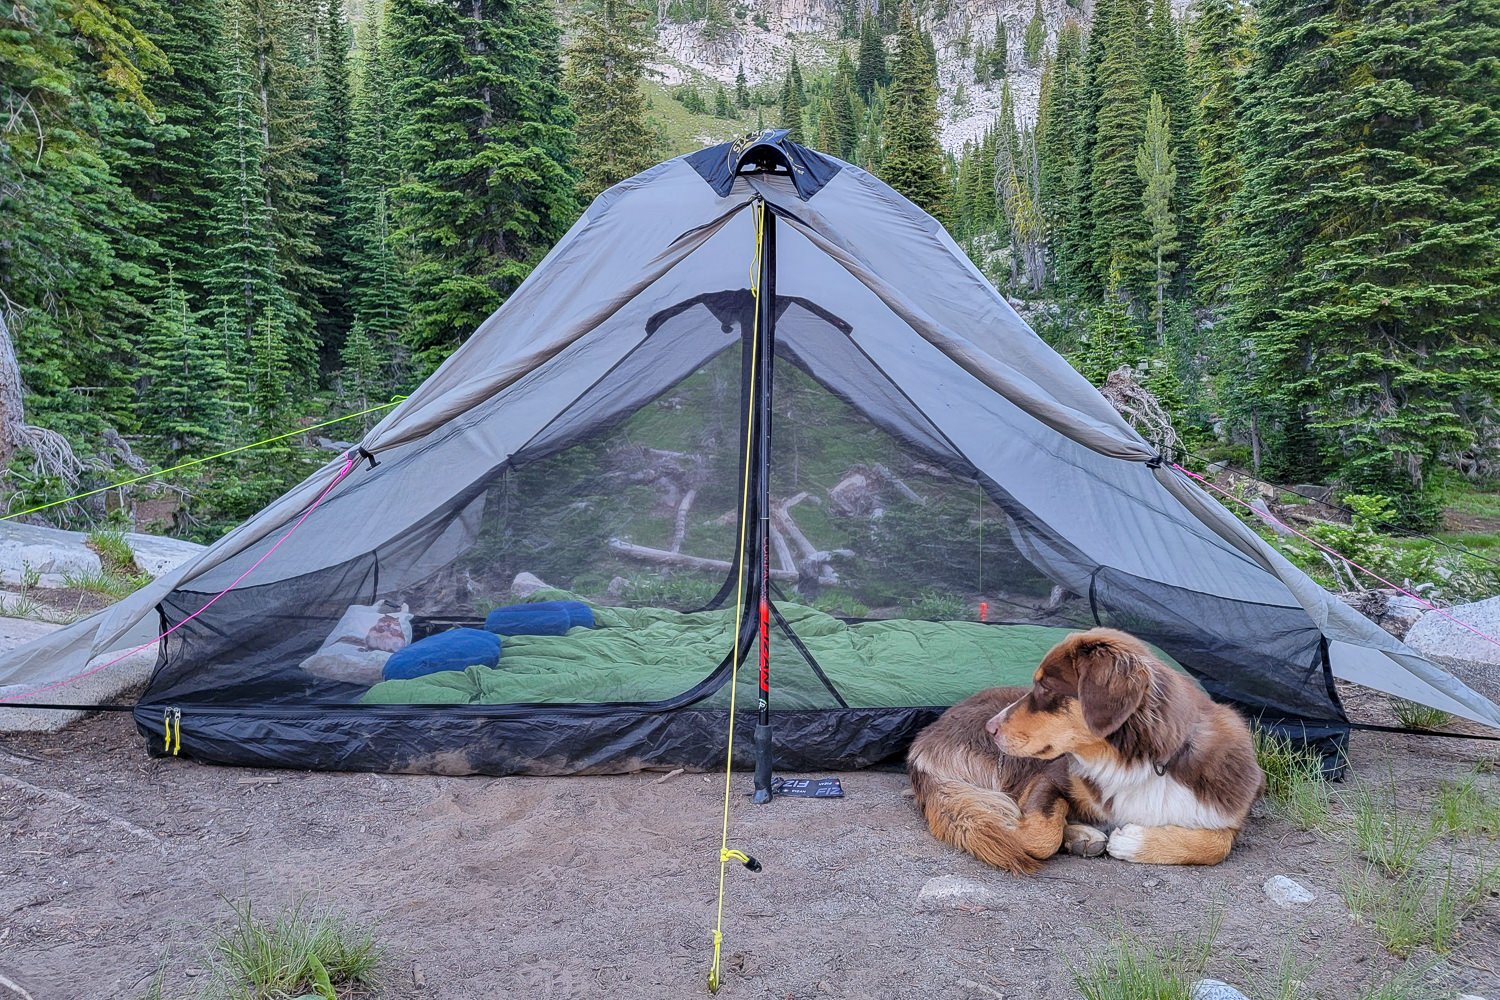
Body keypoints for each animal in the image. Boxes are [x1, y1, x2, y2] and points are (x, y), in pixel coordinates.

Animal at [900, 629, 1266, 869]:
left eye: (1045, 686)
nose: (991, 728)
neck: (1141, 762)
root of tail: (923, 738)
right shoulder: (1052, 775)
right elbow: (1038, 836)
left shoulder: (1228, 809)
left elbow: (1218, 845)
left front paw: (1133, 841)